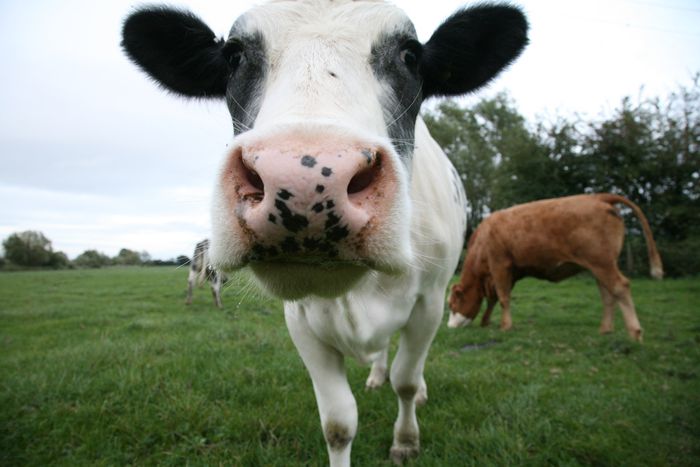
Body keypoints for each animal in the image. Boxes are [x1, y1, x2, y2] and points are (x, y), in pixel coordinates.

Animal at [120, 2, 528, 464]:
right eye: (234, 56)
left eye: (410, 55)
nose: (302, 180)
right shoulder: (299, 319)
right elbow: (337, 422)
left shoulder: (429, 300)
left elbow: (406, 381)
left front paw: (406, 441)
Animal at [446, 194, 664, 344]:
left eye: (451, 304)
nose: (449, 327)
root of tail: (597, 196)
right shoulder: (505, 273)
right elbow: (494, 298)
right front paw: (486, 321)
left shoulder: (500, 264)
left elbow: (503, 297)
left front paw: (505, 326)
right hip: (599, 266)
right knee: (608, 295)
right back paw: (605, 330)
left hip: (602, 262)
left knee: (620, 287)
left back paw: (635, 333)